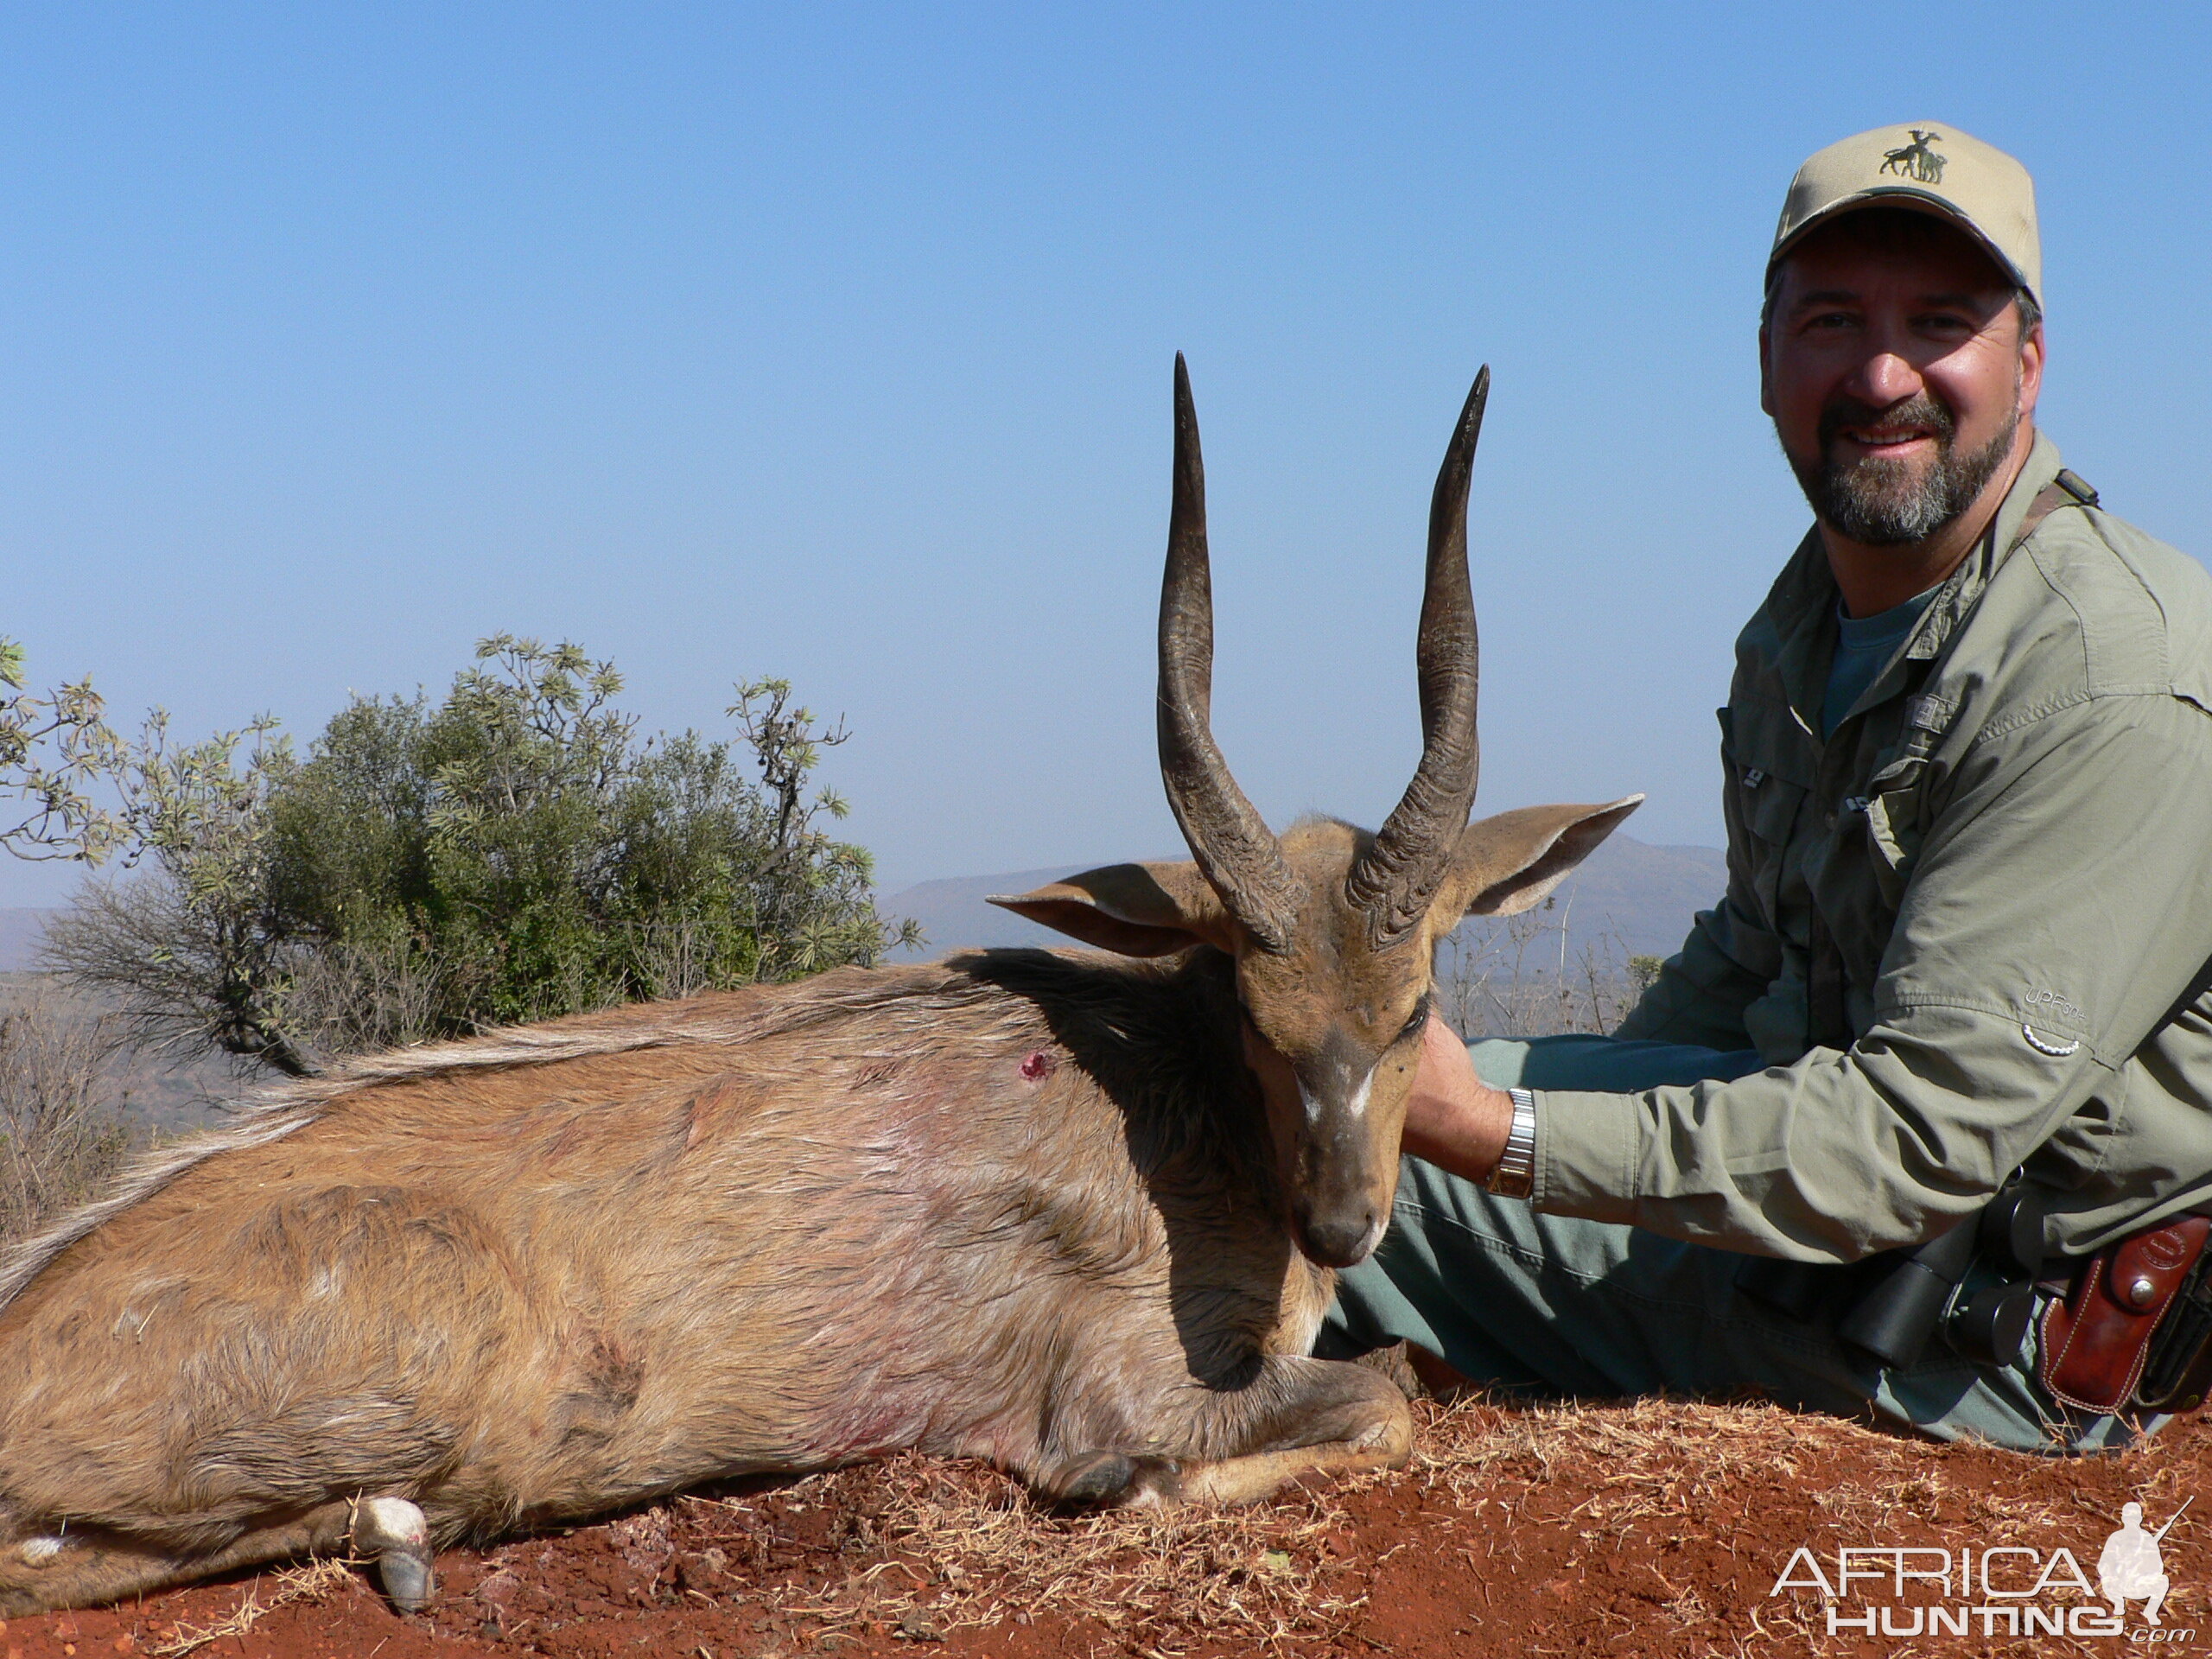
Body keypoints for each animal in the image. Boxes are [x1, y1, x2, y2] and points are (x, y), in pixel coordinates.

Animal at [0, 358, 1628, 1618]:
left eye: (1414, 1011)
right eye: (1255, 1015)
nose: (1343, 1222)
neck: (1183, 1104)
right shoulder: (1118, 1380)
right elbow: (1372, 1401)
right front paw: (1143, 1479)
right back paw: (405, 1541)